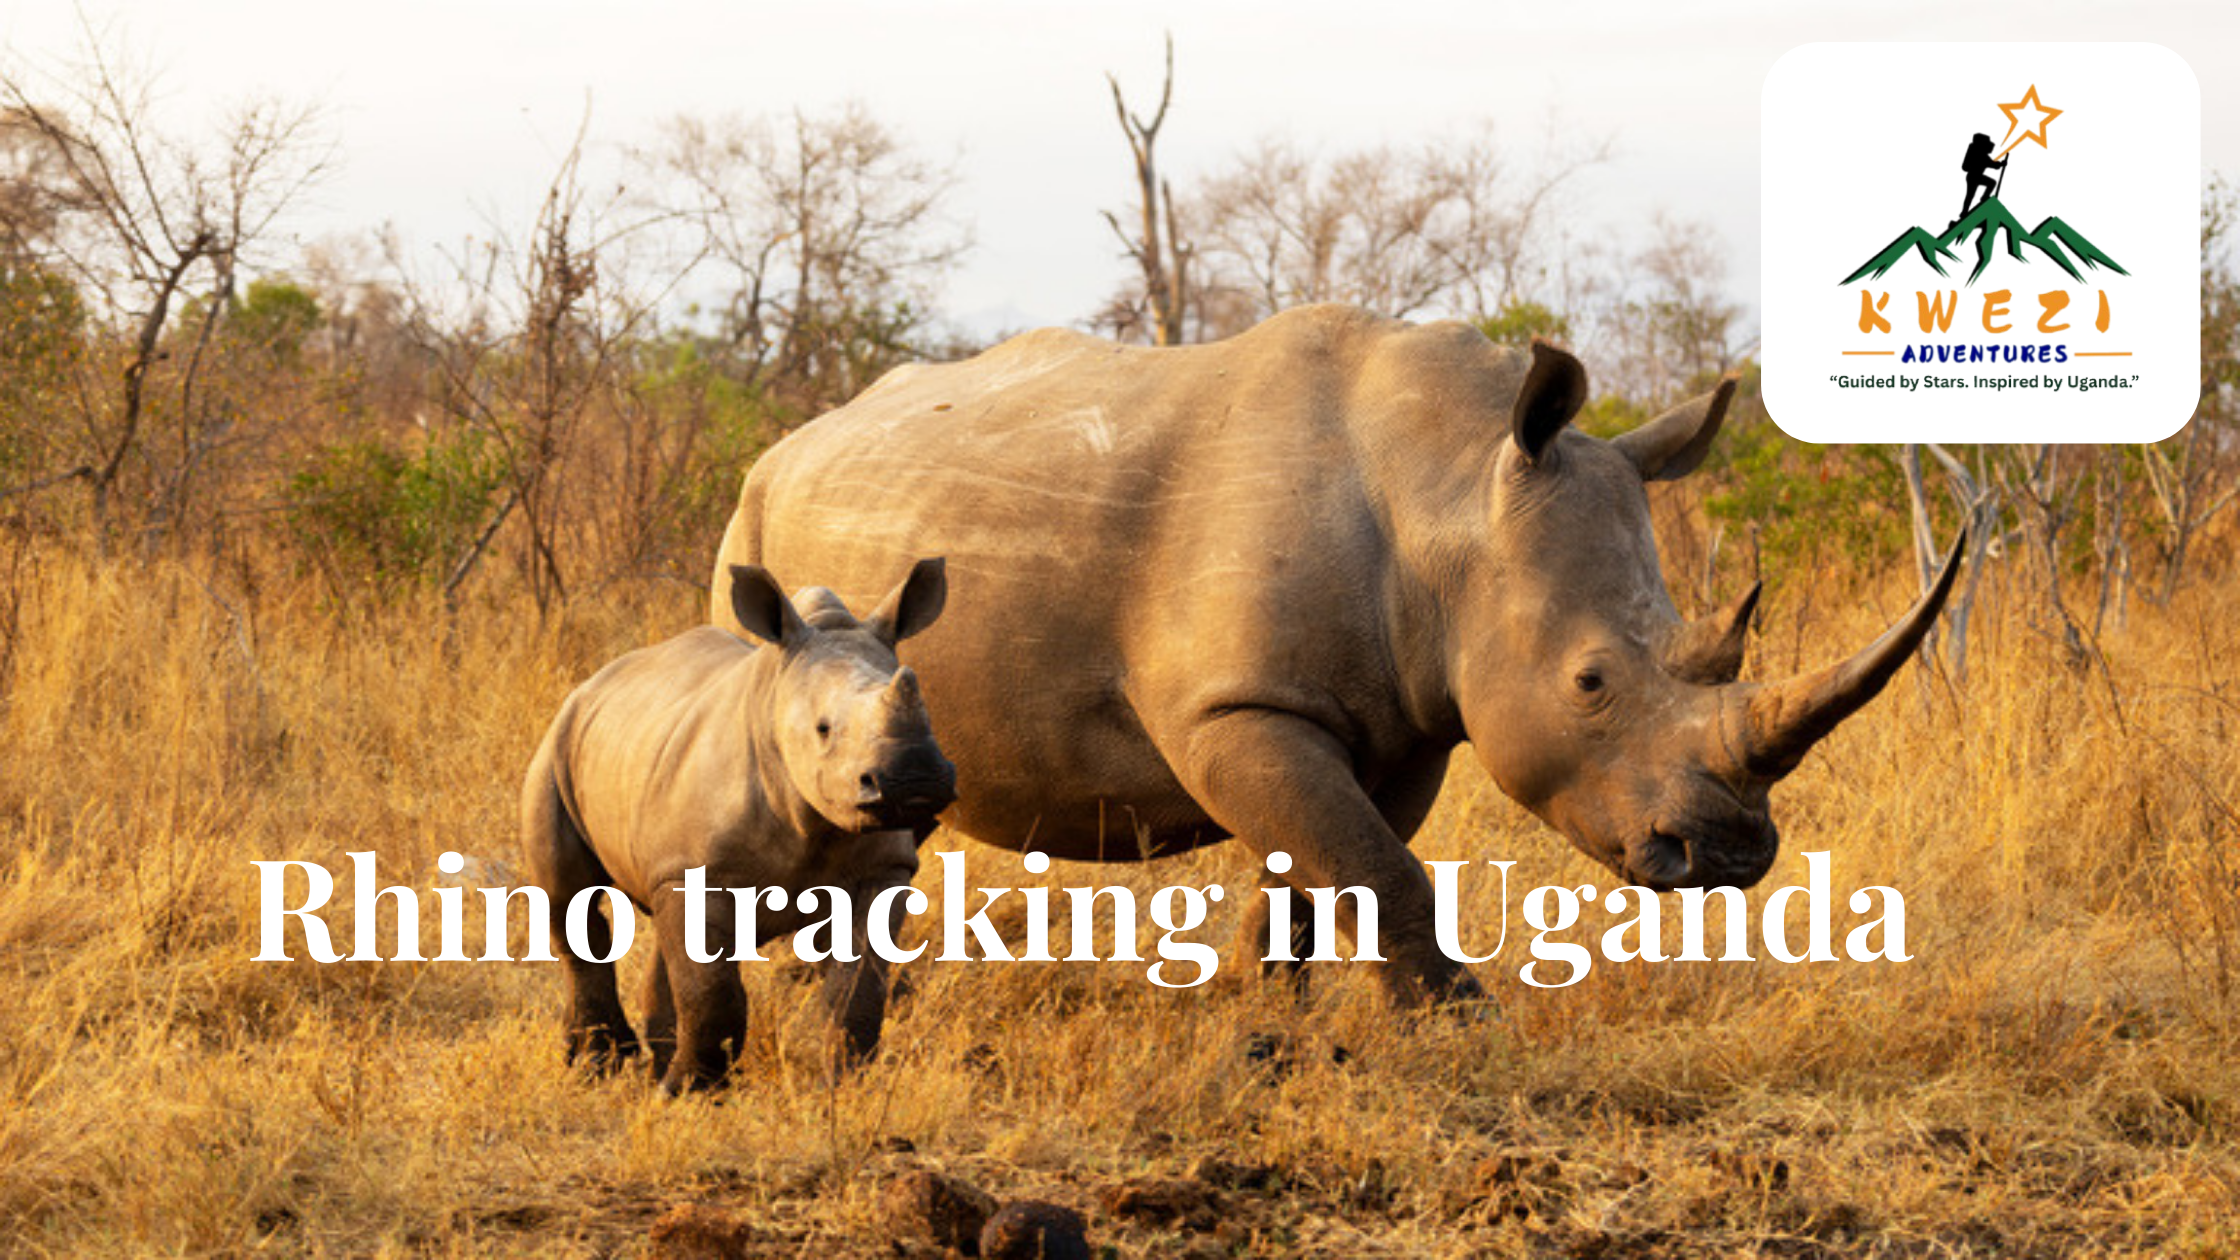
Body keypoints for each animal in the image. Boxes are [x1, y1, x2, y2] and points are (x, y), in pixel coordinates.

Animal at [523, 559, 955, 1092]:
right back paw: (599, 1067)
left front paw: (843, 1087)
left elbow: (857, 988)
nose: (916, 780)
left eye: (930, 714)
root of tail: (594, 682)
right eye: (823, 729)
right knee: (569, 901)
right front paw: (689, 1094)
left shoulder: (885, 866)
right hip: (556, 748)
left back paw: (646, 1062)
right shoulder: (698, 869)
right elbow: (711, 990)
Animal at [710, 305, 1960, 1003]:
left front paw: (1264, 1015)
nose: (1728, 854)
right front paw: (1461, 1026)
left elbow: (1325, 868)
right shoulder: (1239, 706)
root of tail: (789, 441)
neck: (1449, 482)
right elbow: (1374, 867)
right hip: (752, 537)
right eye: (1591, 683)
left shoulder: (1397, 719)